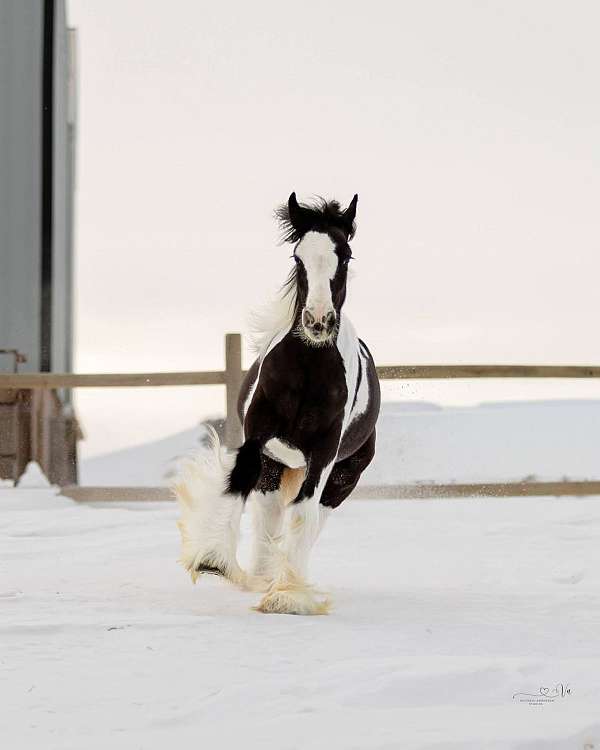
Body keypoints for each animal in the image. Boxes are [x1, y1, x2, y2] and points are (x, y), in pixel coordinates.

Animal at [174, 192, 380, 615]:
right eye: (298, 257)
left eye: (345, 255)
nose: (317, 321)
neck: (307, 371)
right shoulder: (257, 441)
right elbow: (235, 486)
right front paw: (212, 560)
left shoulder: (323, 455)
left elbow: (302, 516)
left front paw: (288, 597)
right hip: (274, 466)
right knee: (268, 517)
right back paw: (261, 575)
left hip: (343, 477)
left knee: (313, 518)